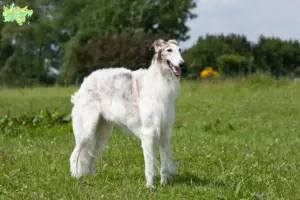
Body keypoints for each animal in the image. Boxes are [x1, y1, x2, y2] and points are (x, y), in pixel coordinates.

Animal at [69, 38, 185, 188]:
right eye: (169, 50)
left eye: (180, 50)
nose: (182, 64)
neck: (160, 82)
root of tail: (85, 82)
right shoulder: (148, 133)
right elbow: (149, 164)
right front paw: (150, 186)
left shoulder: (165, 134)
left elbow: (164, 165)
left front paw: (164, 184)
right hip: (87, 130)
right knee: (75, 154)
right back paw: (76, 176)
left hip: (100, 132)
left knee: (89, 156)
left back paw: (91, 176)